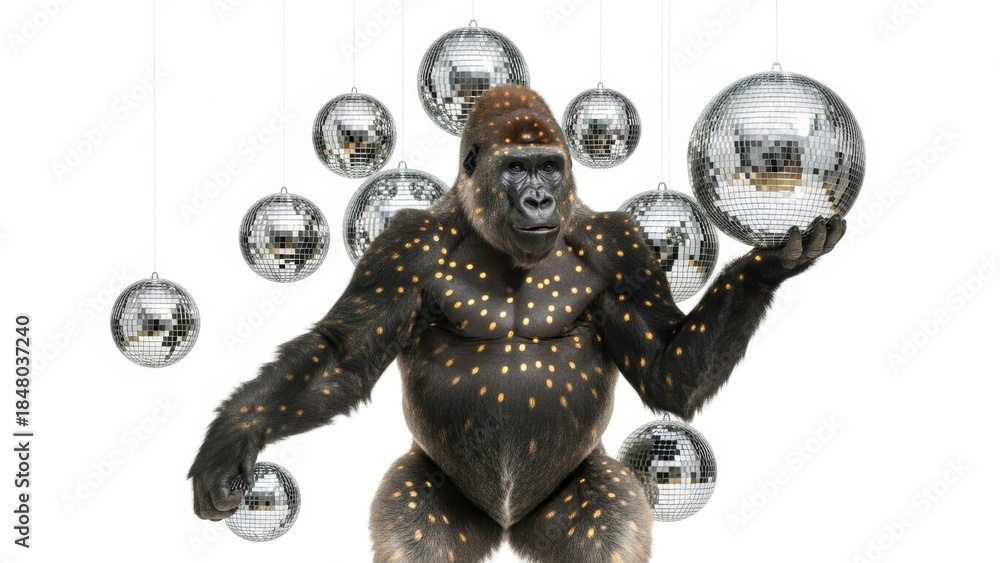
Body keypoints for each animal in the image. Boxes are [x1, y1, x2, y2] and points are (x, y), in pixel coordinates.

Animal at [188, 84, 845, 563]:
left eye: (551, 168)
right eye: (516, 169)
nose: (539, 200)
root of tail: (506, 528)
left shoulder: (620, 246)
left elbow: (667, 372)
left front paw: (769, 264)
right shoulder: (402, 246)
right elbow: (342, 358)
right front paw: (235, 434)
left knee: (608, 529)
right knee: (417, 535)